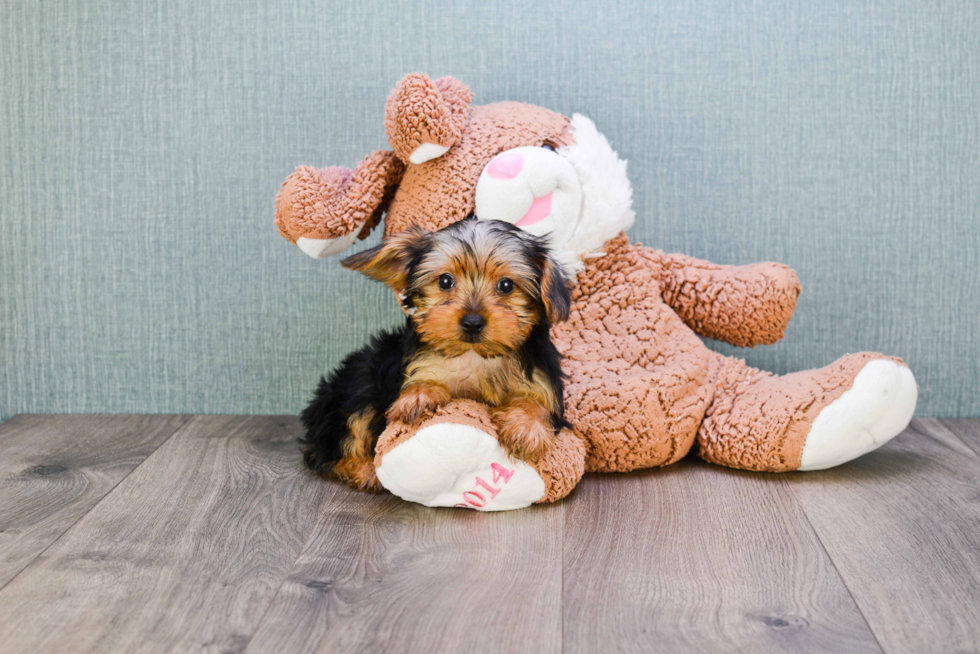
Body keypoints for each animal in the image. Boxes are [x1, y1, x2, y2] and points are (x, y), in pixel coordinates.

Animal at [302, 218, 572, 494]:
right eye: (445, 281)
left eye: (506, 285)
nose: (472, 322)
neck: (476, 356)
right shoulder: (420, 366)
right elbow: (426, 380)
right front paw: (419, 396)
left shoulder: (541, 382)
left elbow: (535, 403)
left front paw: (526, 428)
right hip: (357, 384)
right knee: (332, 448)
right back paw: (365, 470)